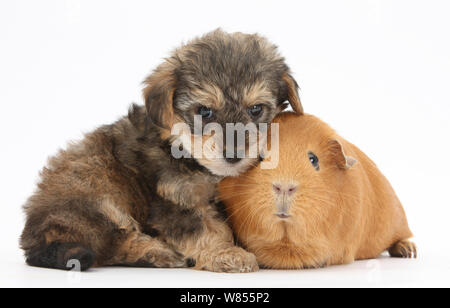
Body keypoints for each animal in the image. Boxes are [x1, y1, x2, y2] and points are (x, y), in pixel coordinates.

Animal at [20, 30, 302, 274]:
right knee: (109, 240)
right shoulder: (175, 197)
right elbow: (203, 229)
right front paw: (226, 253)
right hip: (94, 193)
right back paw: (154, 251)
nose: (233, 155)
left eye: (256, 109)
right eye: (204, 111)